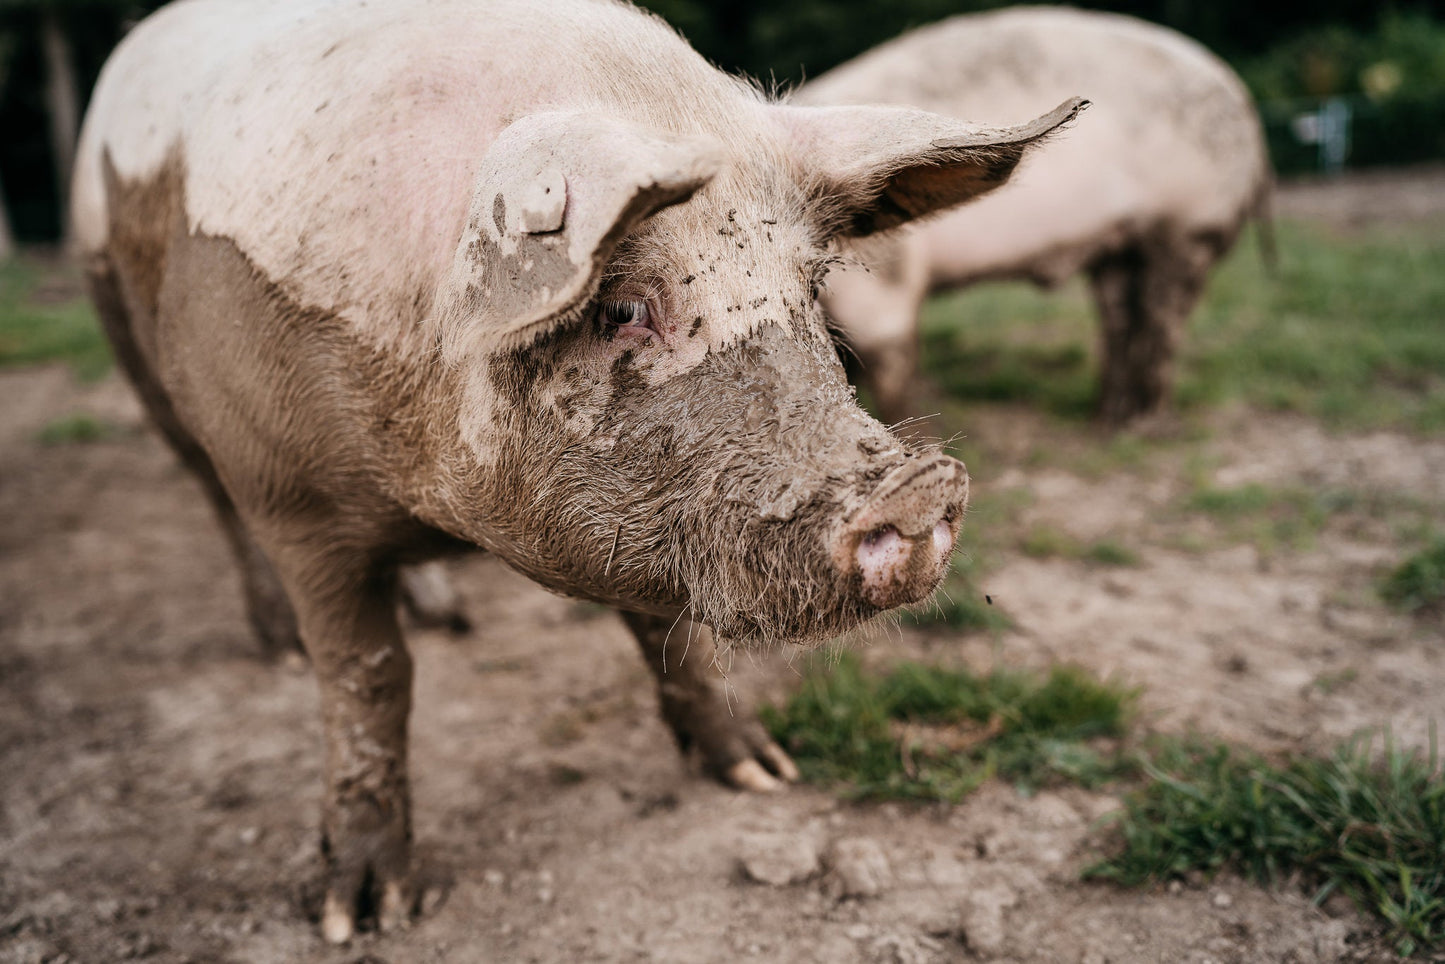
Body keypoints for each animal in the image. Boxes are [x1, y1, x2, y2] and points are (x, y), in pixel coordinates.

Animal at [70, 0, 1086, 942]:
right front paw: (363, 914)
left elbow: (665, 629)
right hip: (129, 338)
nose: (916, 489)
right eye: (621, 306)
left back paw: (448, 613)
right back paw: (281, 641)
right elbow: (368, 677)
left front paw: (762, 773)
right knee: (208, 494)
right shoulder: (293, 499)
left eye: (810, 285)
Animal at [797, 6, 1271, 422]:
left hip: (1190, 225)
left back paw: (1146, 424)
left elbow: (888, 363)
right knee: (1120, 314)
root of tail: (1243, 100)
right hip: (1118, 244)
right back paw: (1106, 421)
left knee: (1161, 319)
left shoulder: (887, 280)